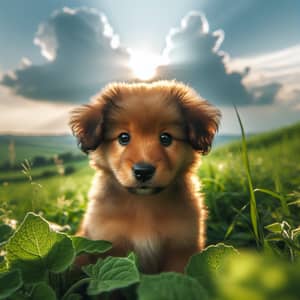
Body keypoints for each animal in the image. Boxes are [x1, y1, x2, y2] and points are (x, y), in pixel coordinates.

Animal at [69, 81, 220, 274]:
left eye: (166, 138)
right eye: (123, 137)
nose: (143, 171)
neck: (144, 206)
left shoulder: (181, 249)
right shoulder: (109, 246)